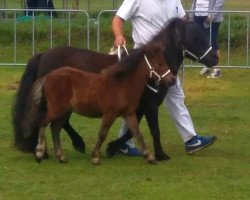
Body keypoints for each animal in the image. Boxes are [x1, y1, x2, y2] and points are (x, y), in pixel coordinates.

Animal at [23, 47, 176, 164]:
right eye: (160, 64)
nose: (172, 80)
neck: (122, 85)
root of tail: (47, 77)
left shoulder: (129, 114)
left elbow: (137, 133)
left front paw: (149, 156)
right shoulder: (109, 114)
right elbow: (102, 134)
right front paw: (95, 157)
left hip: (63, 112)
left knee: (55, 128)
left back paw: (61, 157)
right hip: (56, 110)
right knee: (42, 124)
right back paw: (39, 154)